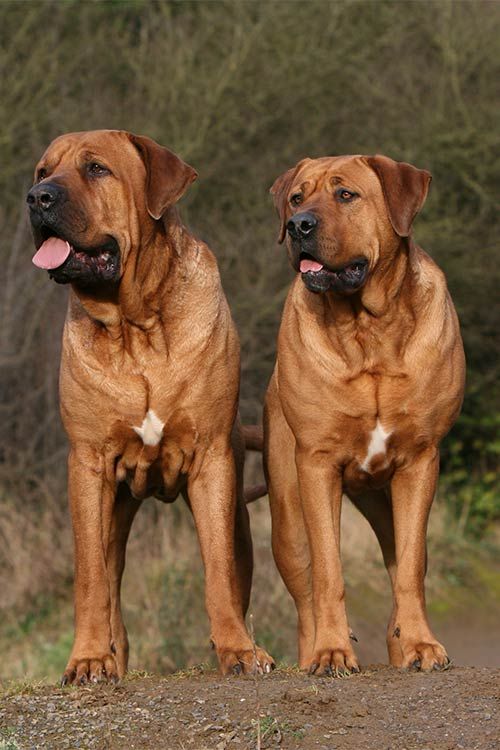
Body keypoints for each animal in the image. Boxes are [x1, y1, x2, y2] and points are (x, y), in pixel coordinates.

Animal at [27, 131, 274, 688]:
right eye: (43, 171)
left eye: (96, 169)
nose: (37, 198)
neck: (134, 325)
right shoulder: (88, 465)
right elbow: (91, 581)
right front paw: (87, 659)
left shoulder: (211, 462)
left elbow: (219, 572)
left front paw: (238, 650)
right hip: (112, 511)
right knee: (108, 584)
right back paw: (107, 657)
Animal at [266, 153, 464, 676]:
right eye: (297, 197)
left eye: (346, 195)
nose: (298, 225)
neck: (367, 329)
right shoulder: (316, 465)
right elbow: (329, 571)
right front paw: (333, 651)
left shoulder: (420, 462)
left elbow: (410, 570)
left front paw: (421, 646)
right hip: (287, 519)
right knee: (305, 596)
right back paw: (313, 649)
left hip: (386, 500)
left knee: (403, 567)